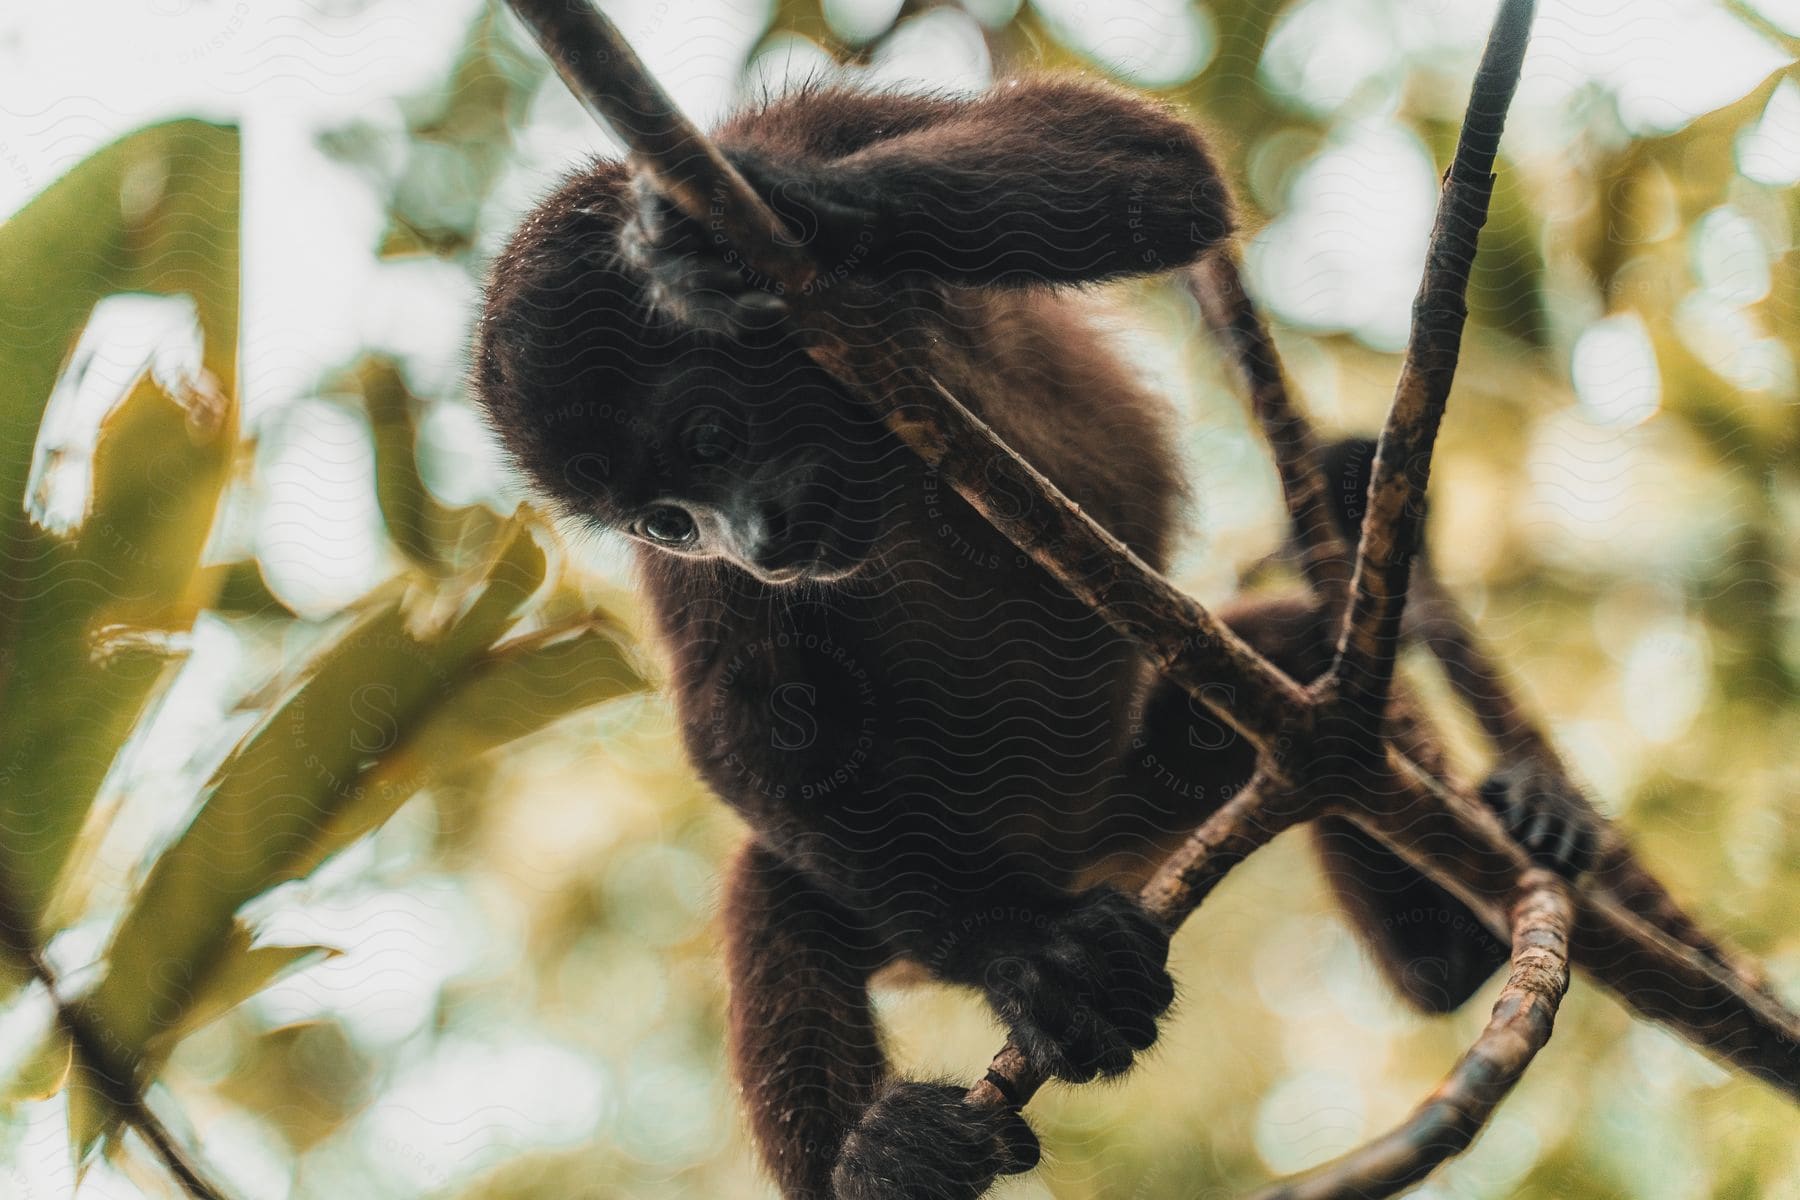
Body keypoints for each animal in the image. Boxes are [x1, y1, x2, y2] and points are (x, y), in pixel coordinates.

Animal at [475, 79, 1591, 1194]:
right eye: (667, 521)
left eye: (709, 438)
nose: (753, 541)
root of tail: (1069, 858)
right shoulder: (696, 584)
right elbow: (749, 731)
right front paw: (1021, 954)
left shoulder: (807, 119)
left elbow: (1148, 156)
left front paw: (777, 211)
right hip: (929, 880)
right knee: (777, 888)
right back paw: (883, 1154)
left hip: (1142, 796)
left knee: (1301, 651)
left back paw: (1484, 891)